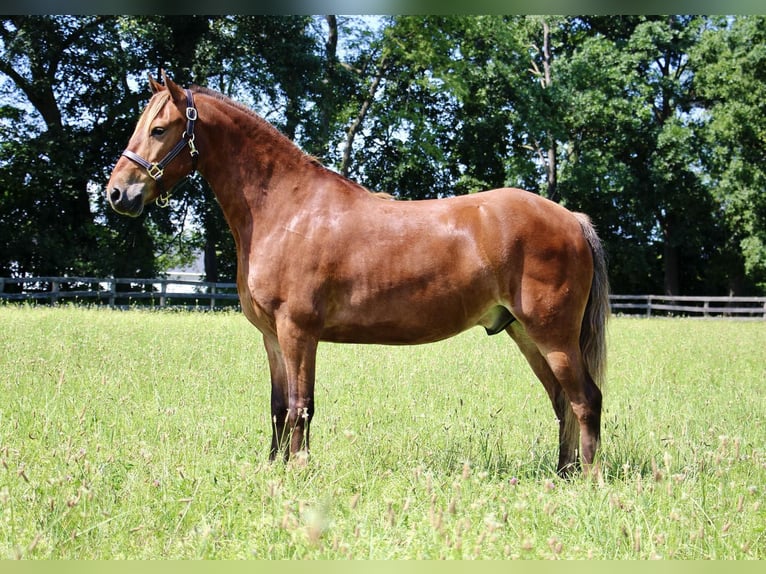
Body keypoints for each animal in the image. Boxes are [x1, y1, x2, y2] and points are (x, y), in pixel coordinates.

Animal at [108, 72, 612, 476]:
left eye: (159, 129)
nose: (116, 193)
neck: (286, 208)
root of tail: (571, 219)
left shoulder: (298, 331)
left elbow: (301, 406)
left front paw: (298, 470)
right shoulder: (272, 336)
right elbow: (277, 406)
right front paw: (272, 468)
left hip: (553, 334)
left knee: (586, 399)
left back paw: (588, 478)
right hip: (525, 334)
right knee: (562, 402)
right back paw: (562, 473)